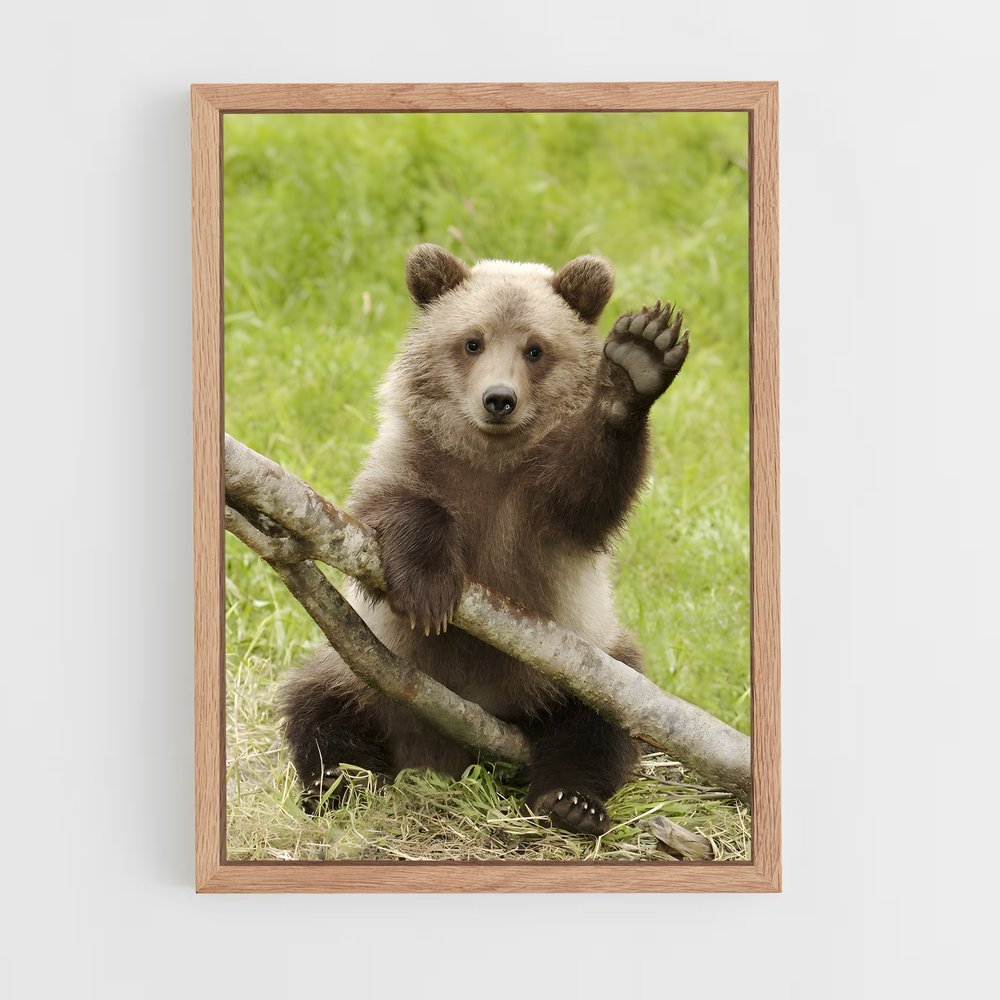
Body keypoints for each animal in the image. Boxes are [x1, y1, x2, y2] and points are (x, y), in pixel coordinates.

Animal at [279, 243, 689, 836]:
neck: (490, 459)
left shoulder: (540, 505)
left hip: (579, 665)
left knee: (600, 721)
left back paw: (570, 801)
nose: (499, 399)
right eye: (472, 341)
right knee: (320, 709)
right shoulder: (412, 461)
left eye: (535, 349)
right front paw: (429, 590)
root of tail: (451, 749)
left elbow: (590, 492)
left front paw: (636, 362)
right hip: (363, 670)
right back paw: (339, 785)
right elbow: (387, 517)